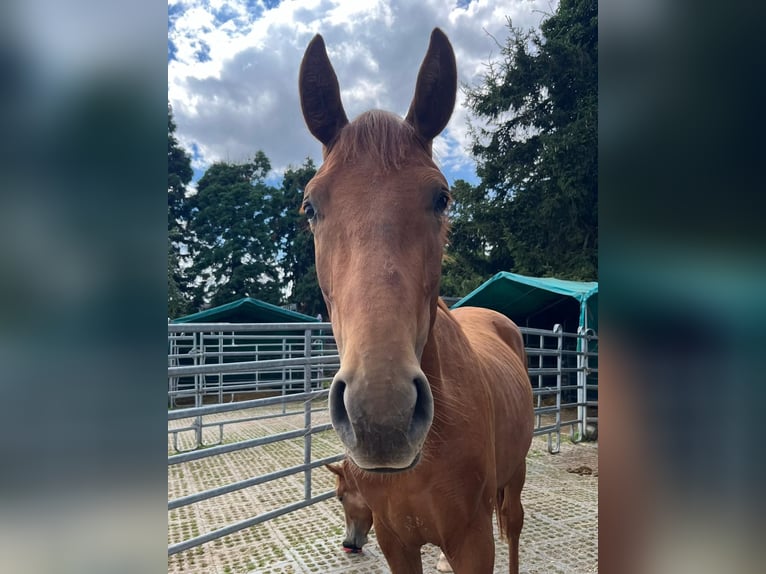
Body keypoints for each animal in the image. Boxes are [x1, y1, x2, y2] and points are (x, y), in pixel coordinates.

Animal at [300, 28, 536, 574]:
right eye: (310, 206)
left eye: (441, 198)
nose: (381, 416)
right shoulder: (396, 542)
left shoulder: (472, 542)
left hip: (516, 476)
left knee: (514, 525)